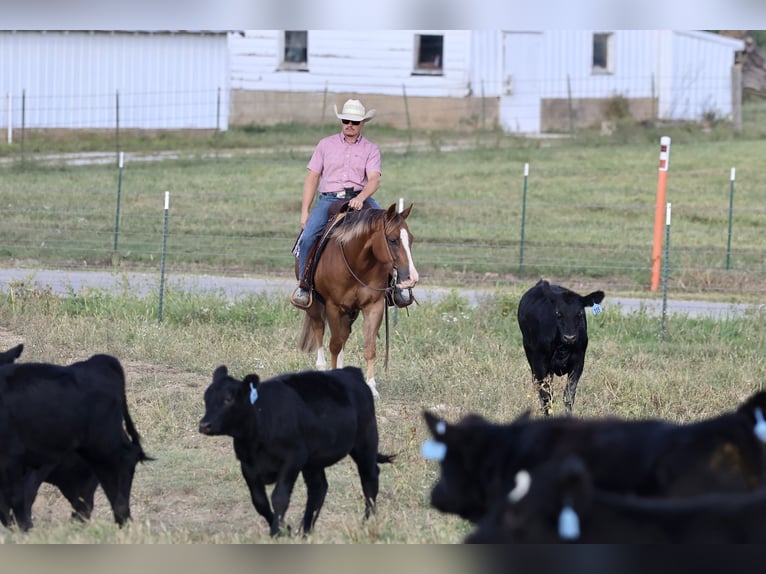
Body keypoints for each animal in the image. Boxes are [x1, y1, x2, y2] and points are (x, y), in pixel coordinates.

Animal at [297, 203, 419, 399]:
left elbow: (369, 347)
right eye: (393, 240)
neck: (357, 262)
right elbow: (334, 345)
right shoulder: (333, 306)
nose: (412, 278)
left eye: (411, 239)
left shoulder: (373, 306)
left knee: (344, 335)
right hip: (314, 306)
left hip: (350, 312)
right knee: (319, 331)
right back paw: (322, 367)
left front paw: (371, 387)